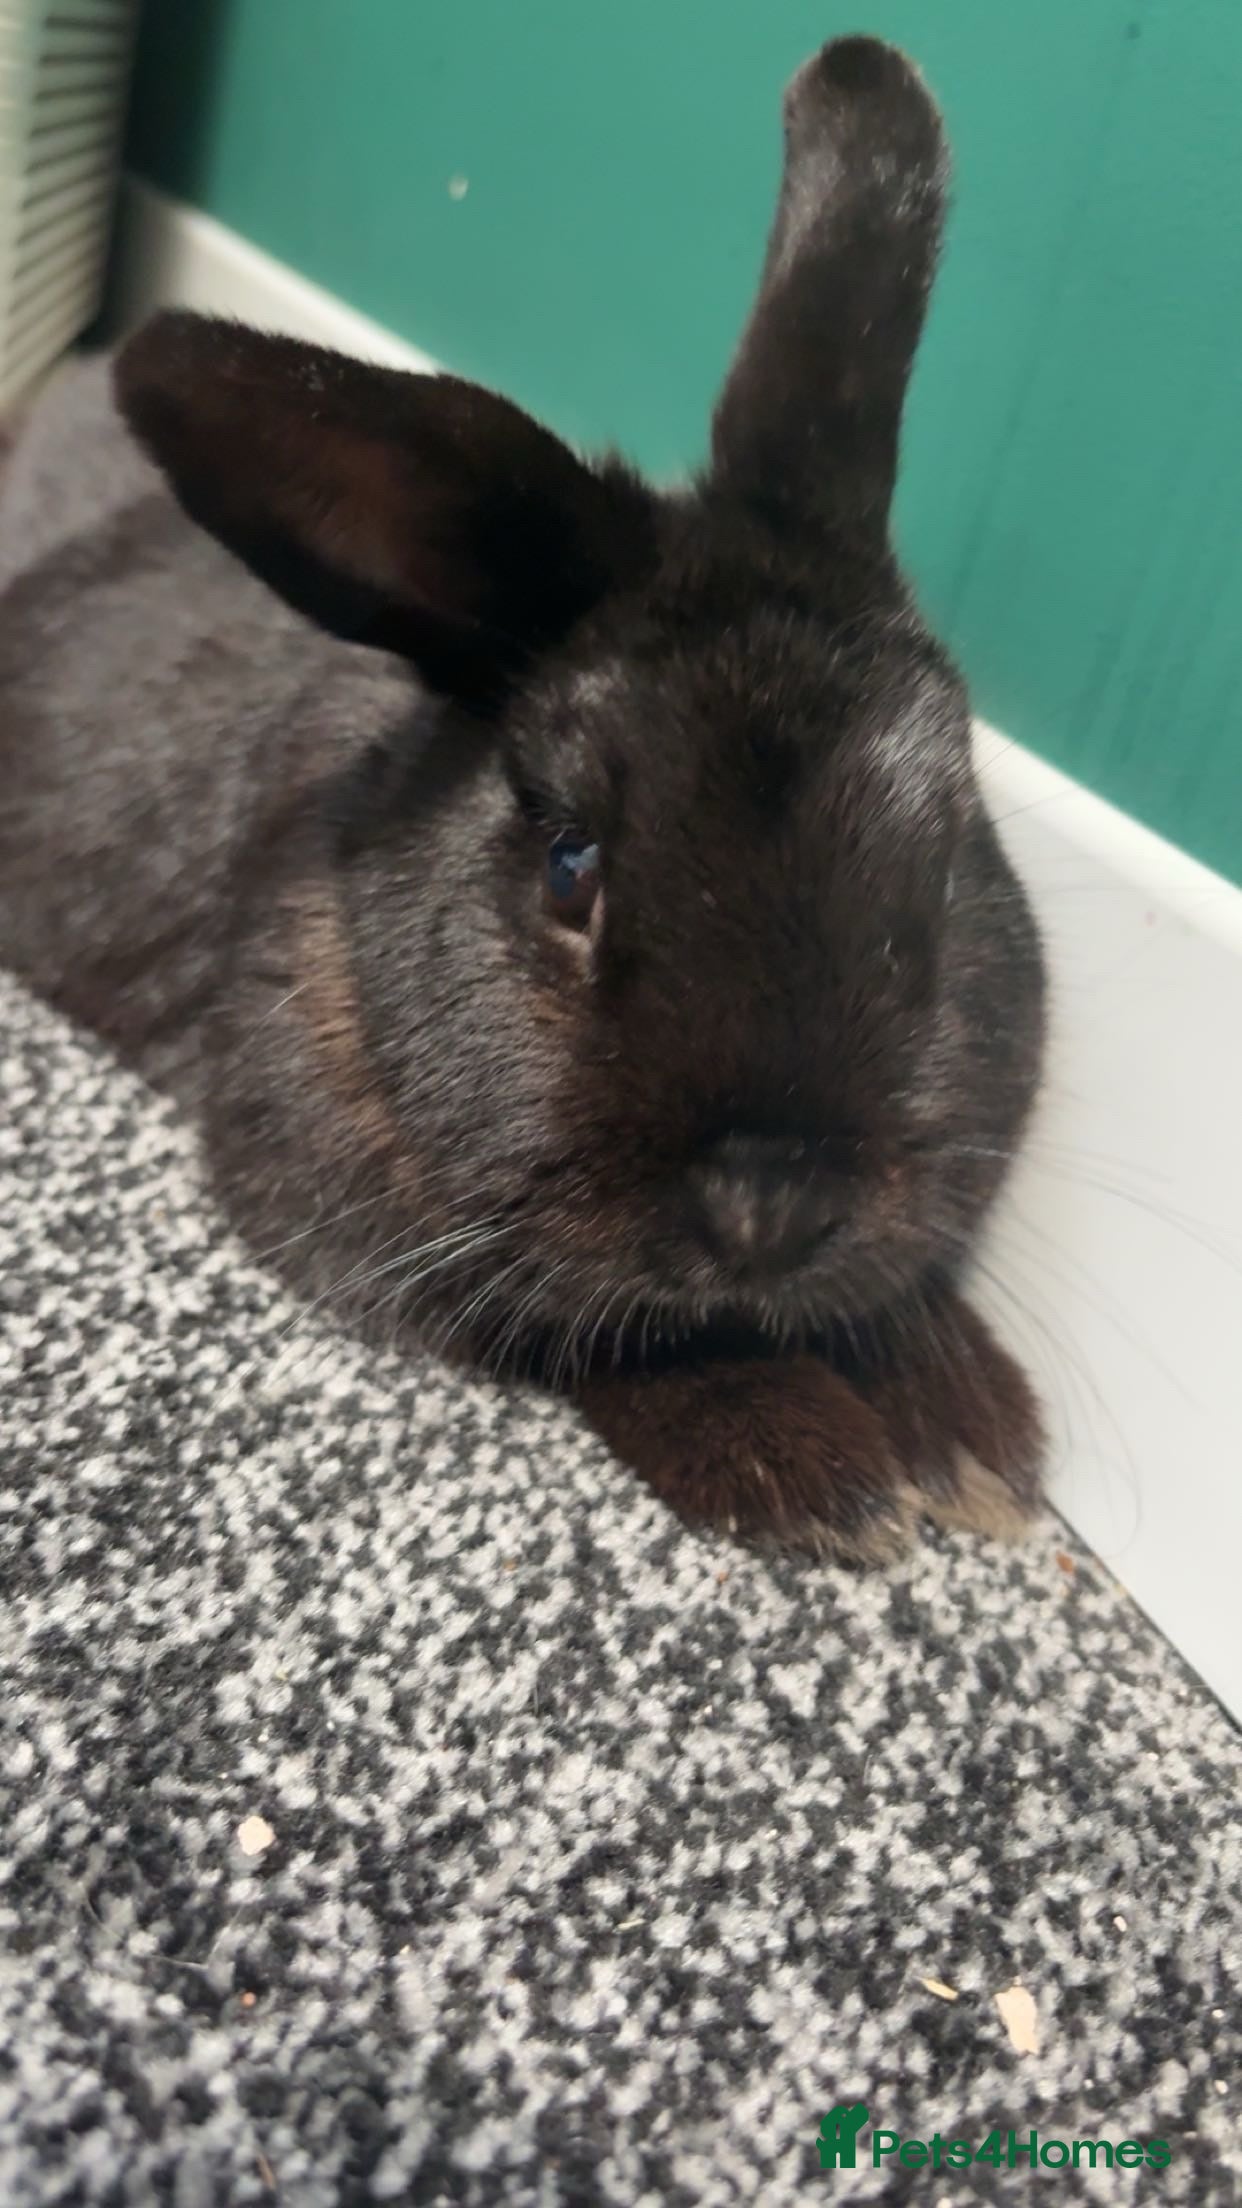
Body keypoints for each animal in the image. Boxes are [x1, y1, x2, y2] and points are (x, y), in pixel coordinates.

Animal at [0, 37, 1046, 1559]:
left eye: (946, 862)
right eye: (569, 863)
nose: (768, 1204)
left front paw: (968, 1426)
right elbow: (579, 1332)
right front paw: (811, 1461)